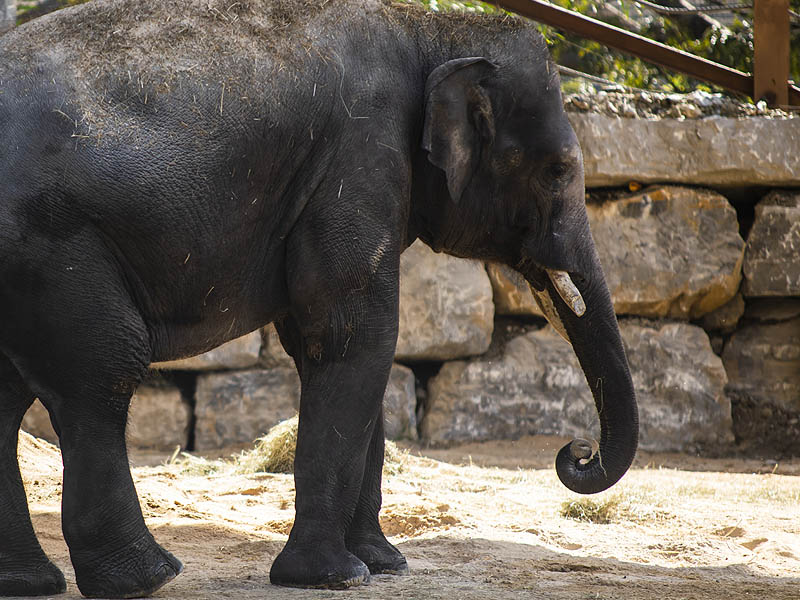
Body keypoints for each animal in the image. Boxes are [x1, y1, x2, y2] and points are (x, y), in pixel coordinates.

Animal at [0, 0, 636, 592]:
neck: (430, 29)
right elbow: (355, 334)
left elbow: (335, 350)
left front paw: (382, 565)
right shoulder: (360, 156)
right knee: (101, 373)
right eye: (558, 171)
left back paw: (32, 583)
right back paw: (148, 578)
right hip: (53, 245)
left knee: (10, 398)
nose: (576, 452)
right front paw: (334, 577)